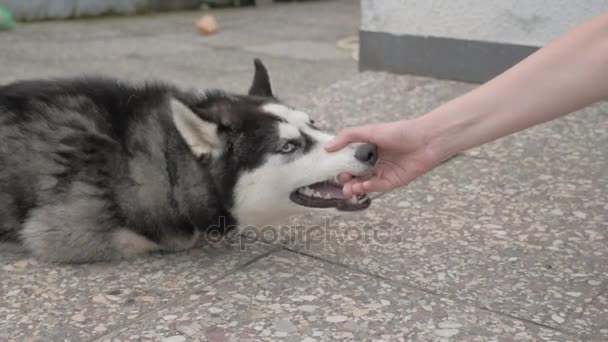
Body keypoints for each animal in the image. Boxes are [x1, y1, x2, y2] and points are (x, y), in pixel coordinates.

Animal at [0, 59, 378, 262]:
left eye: (313, 123)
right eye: (288, 146)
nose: (370, 150)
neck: (168, 160)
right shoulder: (57, 232)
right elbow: (171, 237)